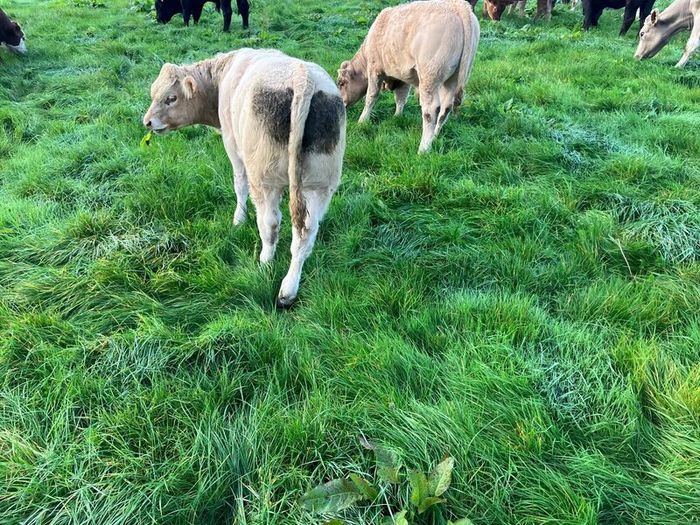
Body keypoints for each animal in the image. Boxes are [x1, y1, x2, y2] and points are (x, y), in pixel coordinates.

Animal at [143, 49, 346, 308]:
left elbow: (239, 185)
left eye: (171, 98)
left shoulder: (232, 145)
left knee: (270, 224)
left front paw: (238, 219)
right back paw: (288, 289)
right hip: (321, 184)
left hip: (263, 179)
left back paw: (265, 263)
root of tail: (303, 77)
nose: (147, 122)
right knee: (306, 233)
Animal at [337, 0, 479, 154]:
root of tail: (459, 6)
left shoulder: (374, 70)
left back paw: (423, 149)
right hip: (452, 79)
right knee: (445, 108)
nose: (341, 104)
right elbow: (401, 98)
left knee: (430, 111)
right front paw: (397, 116)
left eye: (341, 83)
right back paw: (434, 137)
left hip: (429, 77)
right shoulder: (403, 77)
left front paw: (362, 121)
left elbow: (371, 97)